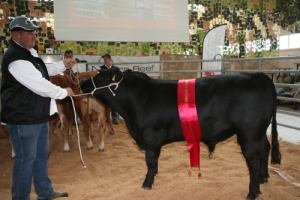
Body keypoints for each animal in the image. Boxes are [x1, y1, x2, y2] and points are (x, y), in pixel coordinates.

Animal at [79, 67, 282, 200]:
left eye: (100, 78)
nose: (81, 83)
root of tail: (258, 75)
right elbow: (154, 163)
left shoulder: (151, 137)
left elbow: (150, 162)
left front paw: (147, 183)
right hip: (259, 132)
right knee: (265, 148)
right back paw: (264, 178)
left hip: (248, 133)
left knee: (253, 159)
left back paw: (253, 192)